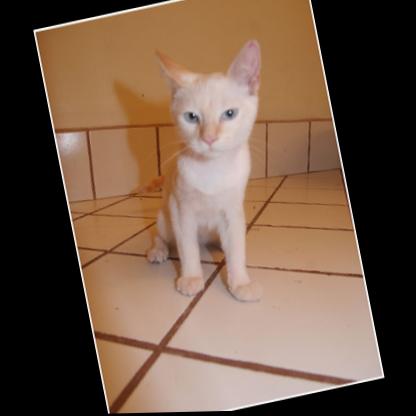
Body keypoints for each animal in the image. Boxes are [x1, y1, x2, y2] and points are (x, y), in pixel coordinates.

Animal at [146, 40, 262, 302]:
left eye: (230, 114)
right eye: (191, 117)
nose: (208, 138)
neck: (213, 169)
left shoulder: (233, 209)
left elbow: (237, 247)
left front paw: (240, 282)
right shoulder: (181, 209)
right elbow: (187, 247)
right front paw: (191, 278)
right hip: (165, 217)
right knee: (161, 234)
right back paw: (158, 250)